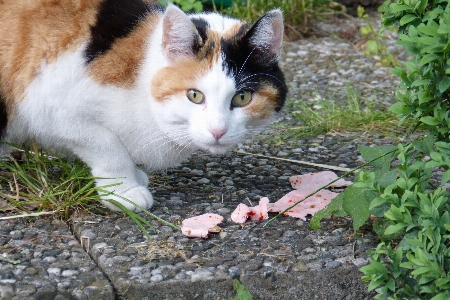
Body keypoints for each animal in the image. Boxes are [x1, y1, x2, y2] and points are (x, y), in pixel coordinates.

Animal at [0, 0, 286, 211]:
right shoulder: (53, 108)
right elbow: (108, 147)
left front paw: (135, 177)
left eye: (242, 98)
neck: (140, 77)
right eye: (194, 95)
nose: (218, 131)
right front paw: (124, 191)